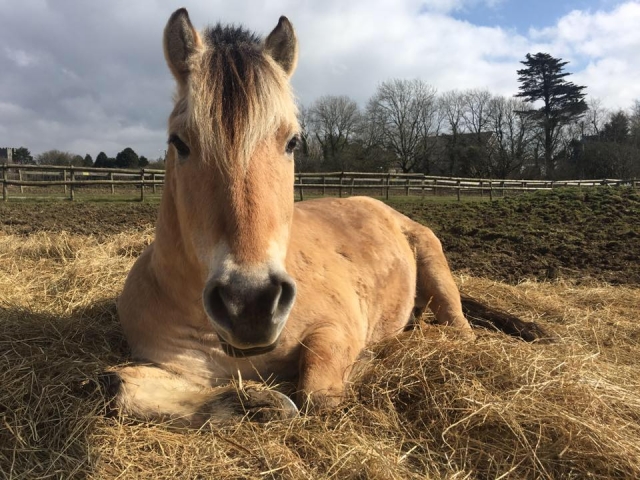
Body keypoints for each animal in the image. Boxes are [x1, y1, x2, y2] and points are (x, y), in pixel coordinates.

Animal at [105, 8, 546, 426]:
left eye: (292, 142)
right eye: (179, 142)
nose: (249, 305)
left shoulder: (334, 331)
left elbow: (318, 394)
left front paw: (363, 362)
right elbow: (121, 389)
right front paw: (260, 404)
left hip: (434, 266)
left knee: (459, 330)